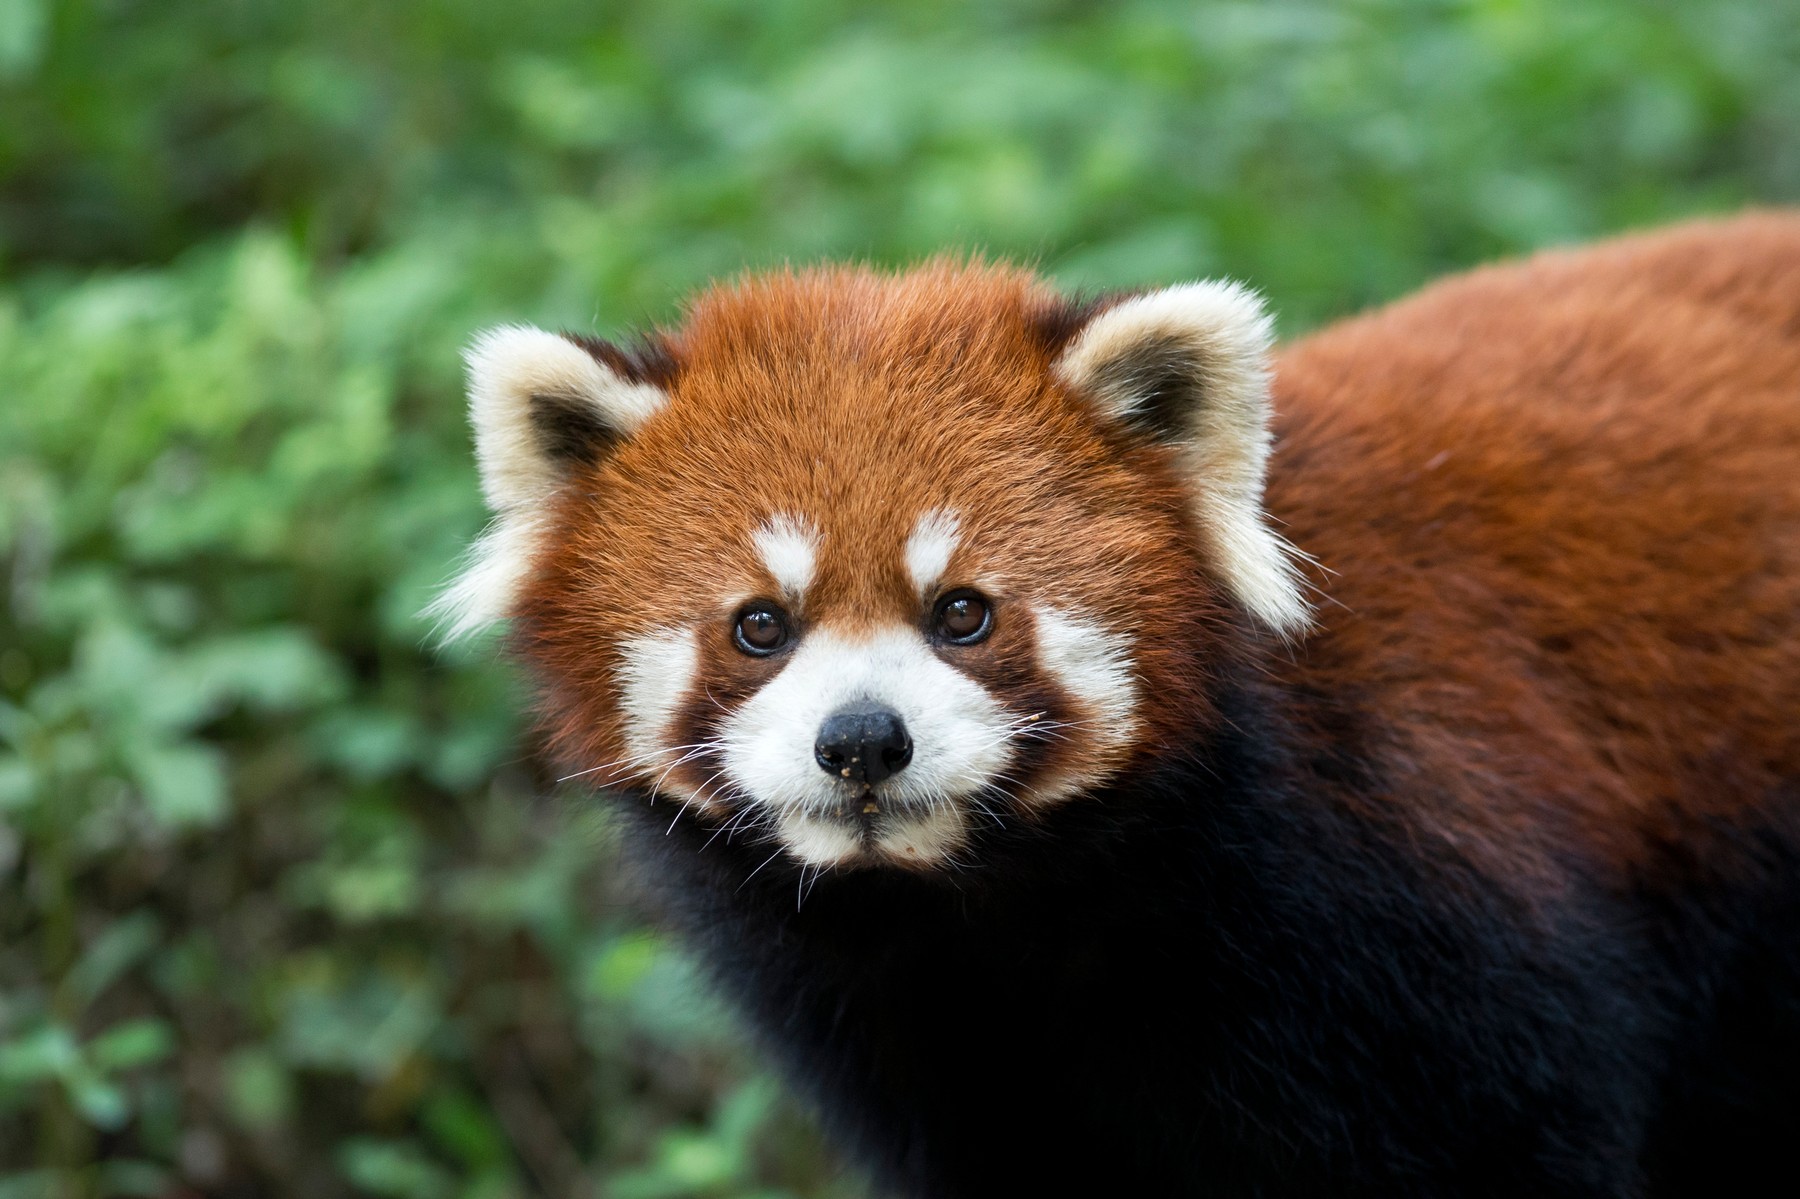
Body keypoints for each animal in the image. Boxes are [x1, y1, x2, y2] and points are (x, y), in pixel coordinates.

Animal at [437, 212, 1800, 1197]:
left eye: (964, 611)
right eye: (759, 625)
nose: (862, 740)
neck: (1001, 909)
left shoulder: (1438, 914)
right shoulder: (917, 1043)